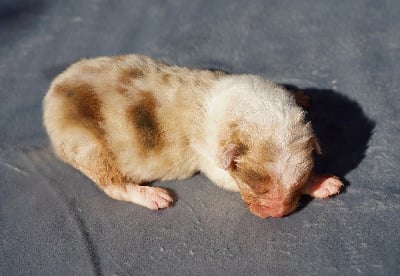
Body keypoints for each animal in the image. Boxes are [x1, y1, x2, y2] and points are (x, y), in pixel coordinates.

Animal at [43, 54, 344, 218]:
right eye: (256, 186)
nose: (277, 214)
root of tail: (54, 90)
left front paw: (301, 95)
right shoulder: (209, 155)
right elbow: (224, 179)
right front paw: (320, 183)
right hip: (83, 142)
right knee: (111, 184)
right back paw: (151, 195)